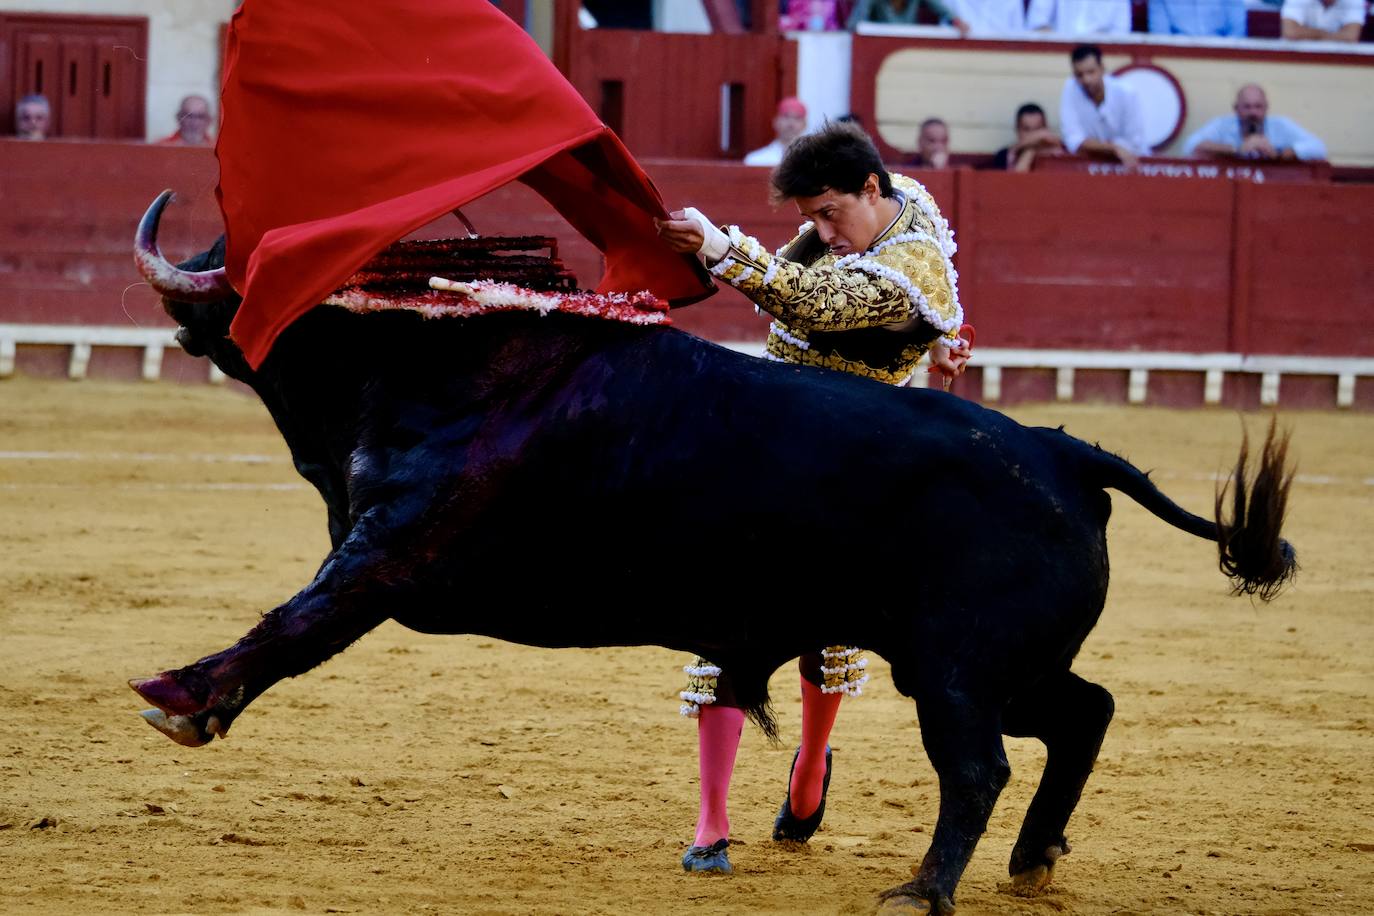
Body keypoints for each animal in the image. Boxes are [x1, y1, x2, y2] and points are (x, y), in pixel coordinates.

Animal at [131, 192, 1297, 911]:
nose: (185, 291)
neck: (424, 358)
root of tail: (1063, 451)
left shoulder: (392, 556)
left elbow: (296, 622)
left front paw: (183, 695)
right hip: (990, 665)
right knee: (1084, 712)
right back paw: (1030, 859)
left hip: (960, 670)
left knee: (979, 766)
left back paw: (924, 890)